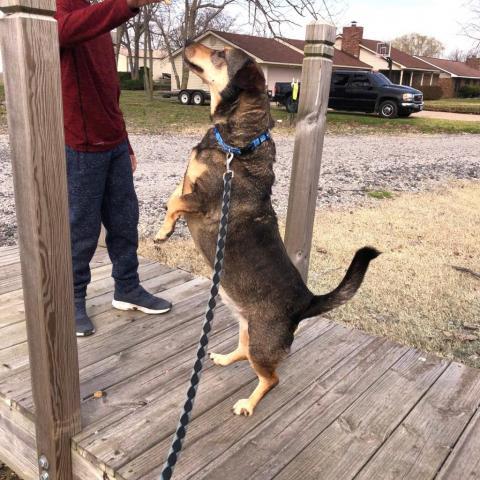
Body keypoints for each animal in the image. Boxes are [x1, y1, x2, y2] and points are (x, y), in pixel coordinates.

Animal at [156, 41, 380, 416]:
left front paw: (162, 231)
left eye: (219, 53)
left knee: (272, 378)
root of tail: (306, 302)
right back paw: (225, 357)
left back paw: (248, 403)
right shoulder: (189, 185)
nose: (187, 41)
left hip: (263, 344)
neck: (236, 141)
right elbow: (173, 196)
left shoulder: (203, 200)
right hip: (247, 328)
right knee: (243, 352)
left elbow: (175, 202)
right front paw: (165, 229)